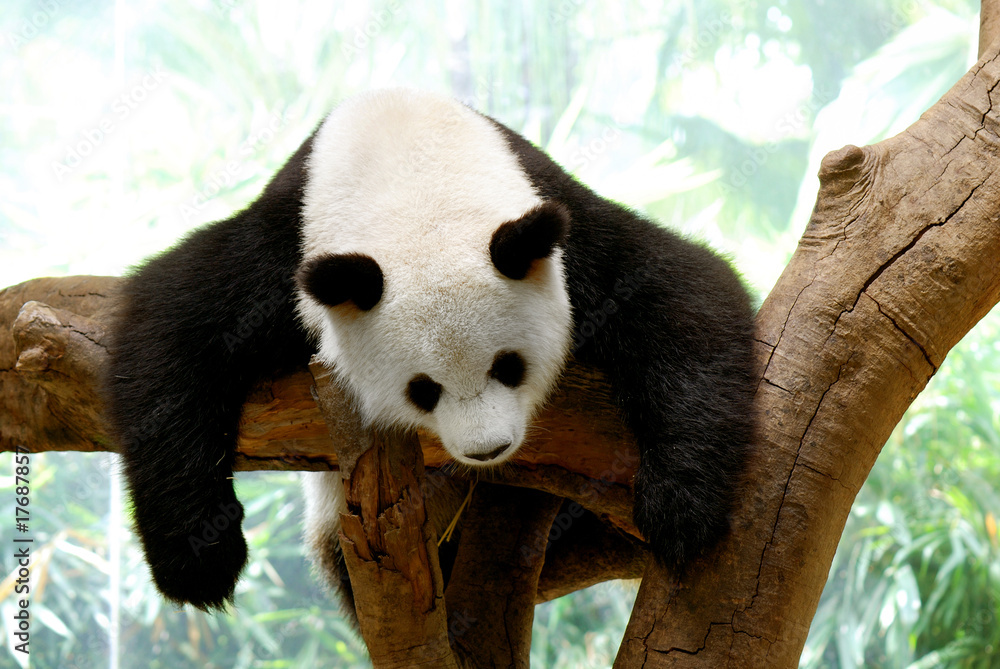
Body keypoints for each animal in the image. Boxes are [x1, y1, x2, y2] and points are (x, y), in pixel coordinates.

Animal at [105, 88, 755, 612]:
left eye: (509, 366)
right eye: (423, 390)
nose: (488, 450)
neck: (416, 182)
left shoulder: (561, 226)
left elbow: (682, 293)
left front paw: (680, 509)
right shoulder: (285, 244)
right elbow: (172, 328)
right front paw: (200, 559)